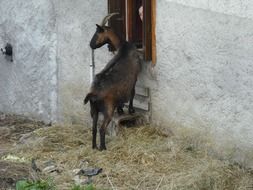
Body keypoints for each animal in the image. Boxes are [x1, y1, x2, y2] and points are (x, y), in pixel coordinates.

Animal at [84, 13, 141, 150]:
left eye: (97, 32)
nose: (91, 45)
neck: (124, 46)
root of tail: (93, 94)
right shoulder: (135, 77)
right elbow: (133, 93)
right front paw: (131, 110)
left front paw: (120, 110)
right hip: (108, 109)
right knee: (102, 128)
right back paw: (103, 148)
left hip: (93, 110)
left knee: (94, 128)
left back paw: (94, 147)